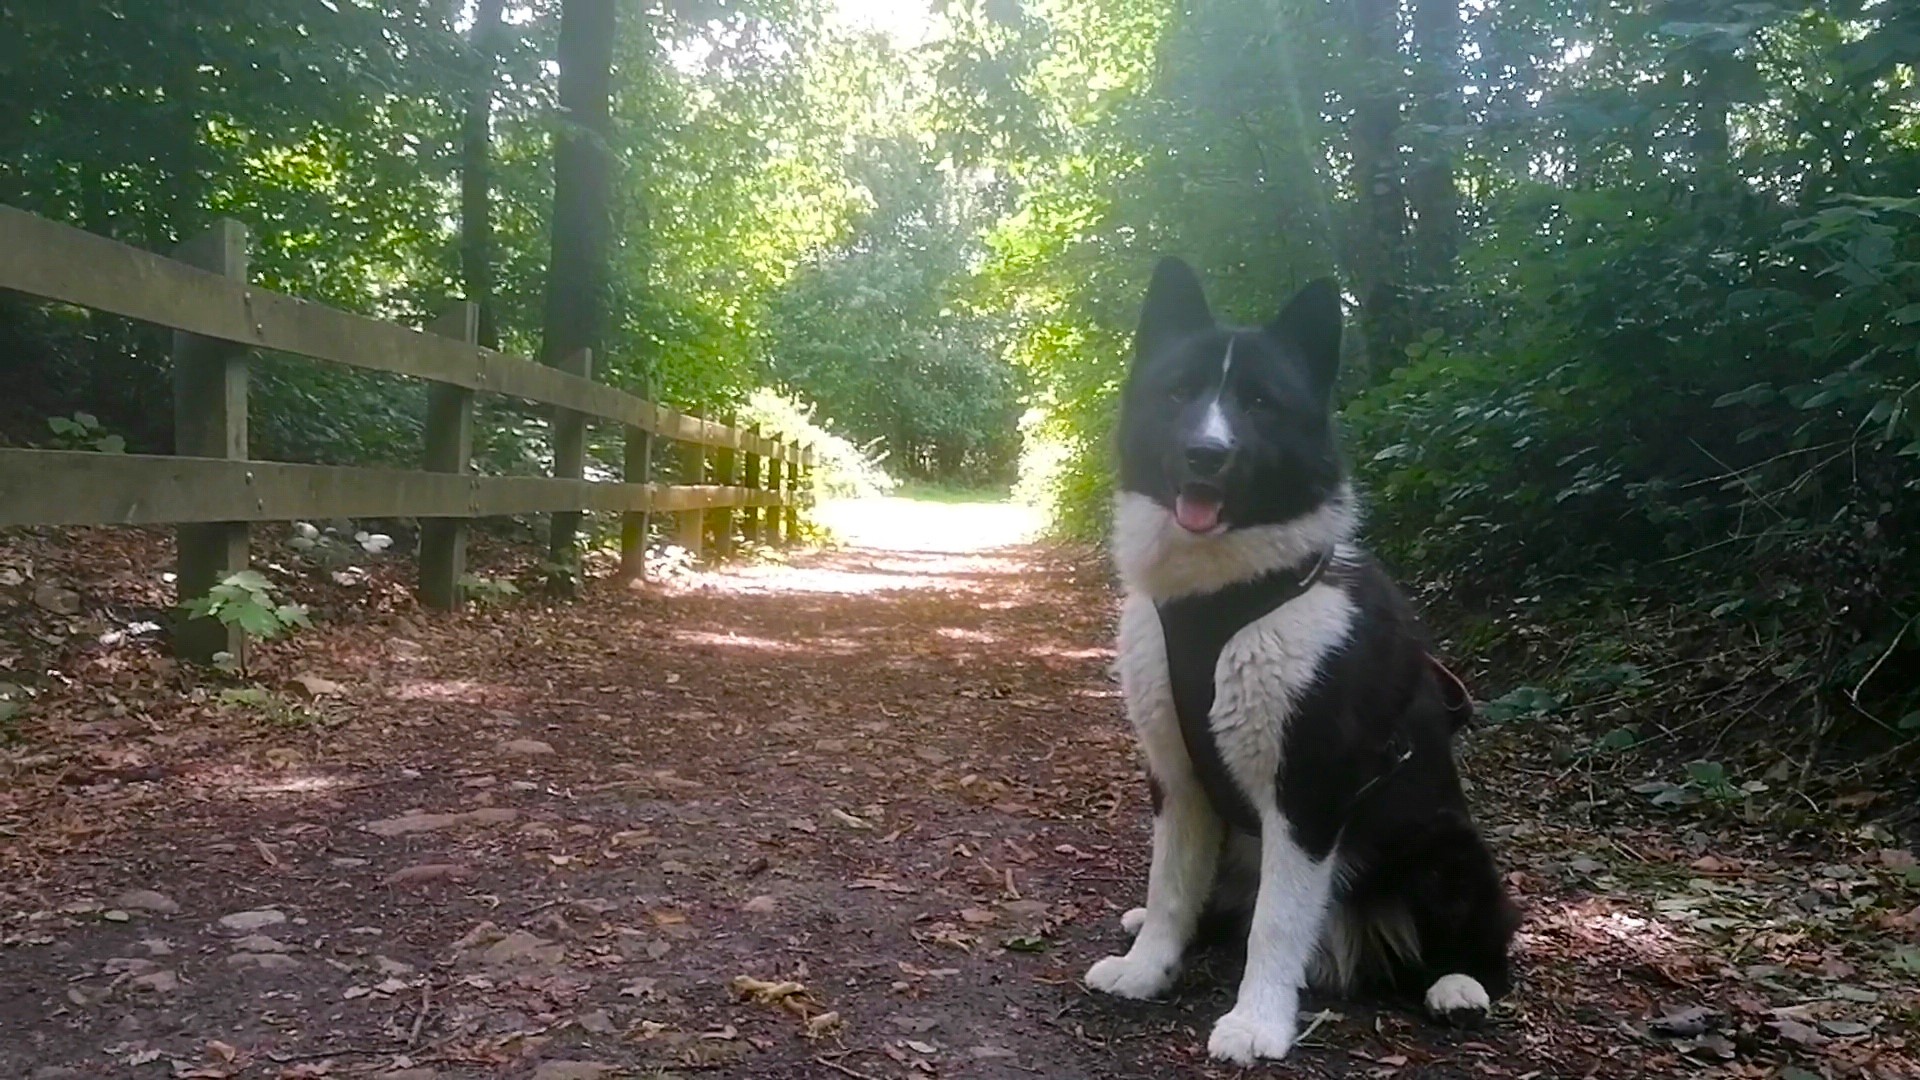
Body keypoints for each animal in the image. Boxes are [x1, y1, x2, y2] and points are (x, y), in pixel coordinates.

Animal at [1083, 257, 1519, 1064]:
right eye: (1179, 392)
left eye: (1260, 402)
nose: (1206, 454)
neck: (1223, 595)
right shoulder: (1178, 780)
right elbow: (1169, 886)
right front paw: (1146, 969)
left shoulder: (1308, 791)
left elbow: (1276, 923)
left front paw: (1257, 1023)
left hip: (1450, 846)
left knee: (1482, 942)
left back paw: (1459, 986)